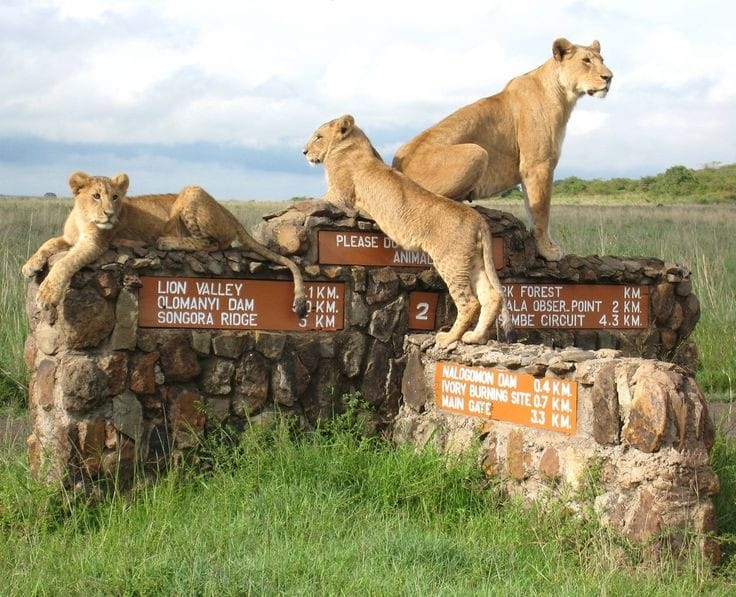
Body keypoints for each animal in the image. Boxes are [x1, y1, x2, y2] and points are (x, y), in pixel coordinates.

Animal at [21, 171, 306, 316]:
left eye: (115, 197)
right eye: (96, 196)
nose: (110, 214)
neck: (82, 217)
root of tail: (227, 211)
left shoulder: (95, 244)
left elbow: (65, 263)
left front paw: (47, 295)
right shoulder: (68, 239)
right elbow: (47, 243)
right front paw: (30, 266)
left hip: (191, 191)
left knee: (213, 244)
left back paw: (167, 242)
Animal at [302, 115, 516, 350]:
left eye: (318, 137)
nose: (303, 152)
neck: (353, 143)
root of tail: (478, 219)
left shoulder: (340, 195)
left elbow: (313, 200)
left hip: (451, 260)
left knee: (470, 303)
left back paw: (448, 338)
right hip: (474, 260)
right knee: (492, 296)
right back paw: (475, 337)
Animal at [394, 37, 612, 260]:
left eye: (602, 60)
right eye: (586, 60)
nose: (609, 77)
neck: (563, 94)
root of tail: (395, 166)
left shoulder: (530, 169)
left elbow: (532, 207)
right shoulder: (538, 164)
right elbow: (542, 211)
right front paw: (547, 251)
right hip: (477, 152)